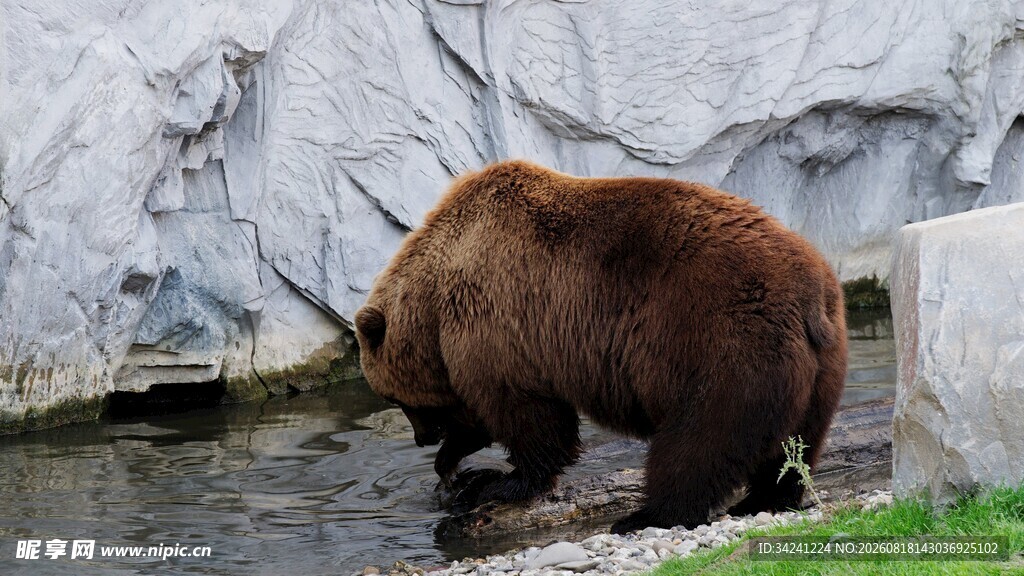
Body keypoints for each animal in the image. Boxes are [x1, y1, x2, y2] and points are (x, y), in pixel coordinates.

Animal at [354, 160, 847, 533]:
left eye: (395, 399)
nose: (422, 438)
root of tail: (809, 291)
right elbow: (484, 416)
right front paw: (454, 469)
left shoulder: (497, 322)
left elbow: (526, 417)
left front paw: (496, 482)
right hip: (822, 364)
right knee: (794, 445)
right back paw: (765, 499)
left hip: (719, 344)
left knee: (698, 441)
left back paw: (646, 515)